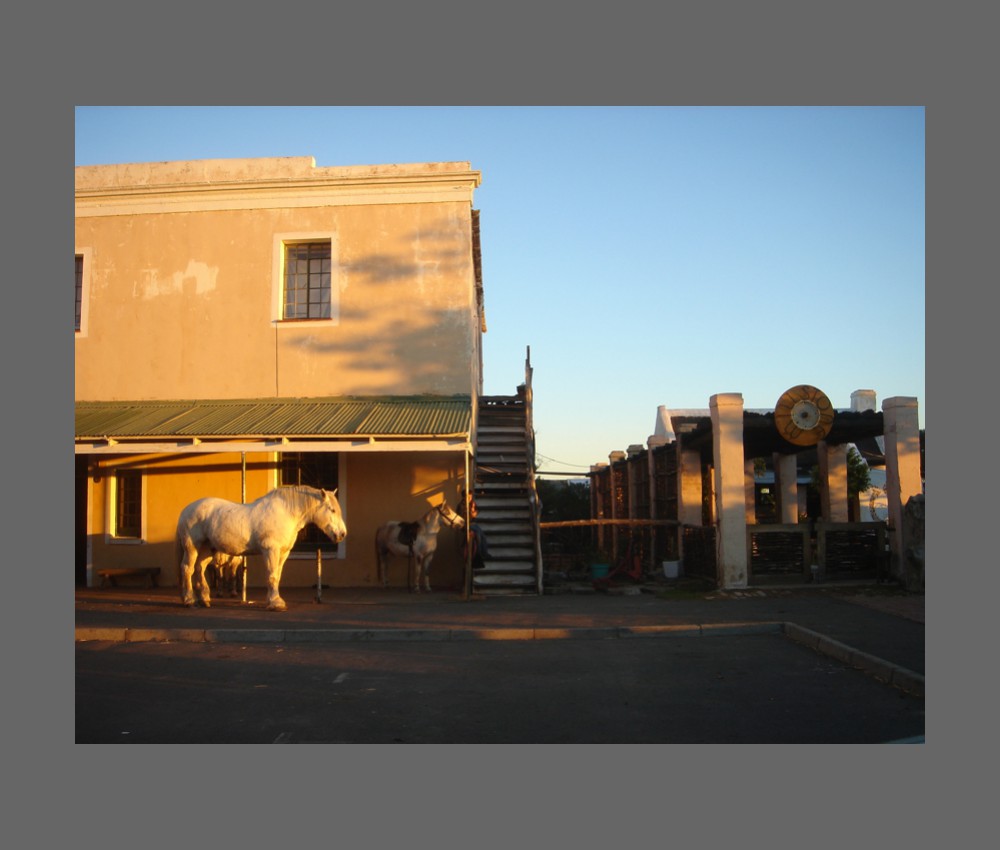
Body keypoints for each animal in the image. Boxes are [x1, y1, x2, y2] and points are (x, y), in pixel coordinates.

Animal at [172, 484, 344, 608]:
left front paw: (273, 600)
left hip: (208, 549)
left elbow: (277, 575)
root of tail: (185, 511)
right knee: (187, 568)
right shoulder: (271, 550)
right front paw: (275, 603)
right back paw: (189, 600)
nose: (342, 534)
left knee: (199, 568)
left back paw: (204, 599)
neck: (285, 513)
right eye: (332, 510)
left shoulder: (283, 553)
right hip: (192, 547)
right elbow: (272, 575)